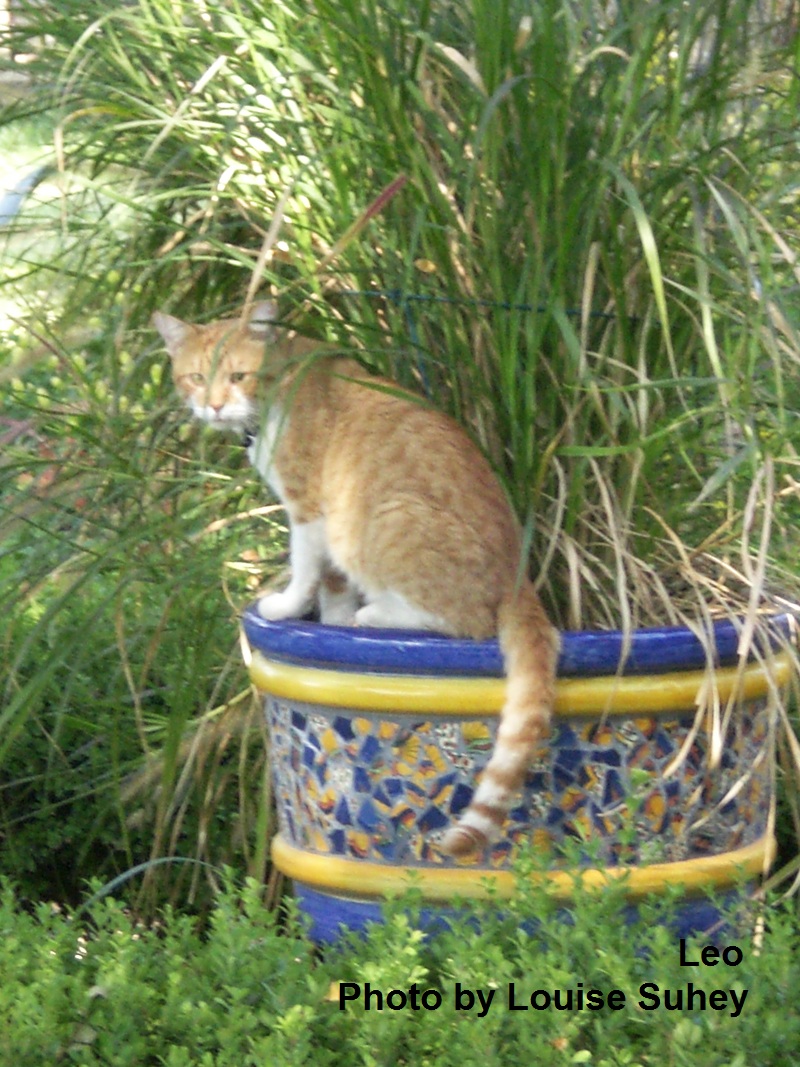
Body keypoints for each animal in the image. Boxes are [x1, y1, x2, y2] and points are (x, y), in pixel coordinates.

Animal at [153, 303, 558, 857]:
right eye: (196, 377)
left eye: (237, 376)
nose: (214, 406)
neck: (282, 382)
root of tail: (519, 576)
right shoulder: (326, 527)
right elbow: (333, 587)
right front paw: (333, 623)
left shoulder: (309, 509)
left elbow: (305, 570)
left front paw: (287, 607)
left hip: (380, 522)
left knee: (463, 621)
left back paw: (377, 614)